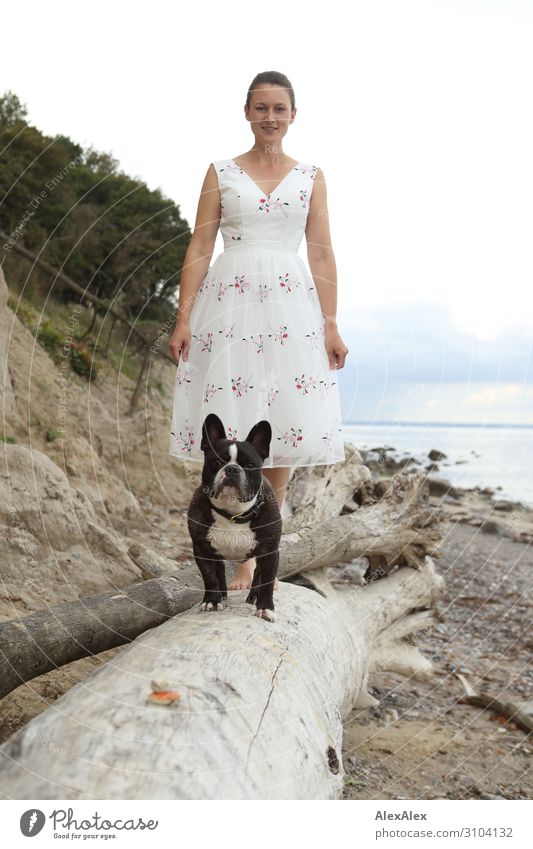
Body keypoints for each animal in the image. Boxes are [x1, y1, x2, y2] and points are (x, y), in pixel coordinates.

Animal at [186, 412, 280, 620]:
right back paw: (221, 594)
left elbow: (267, 582)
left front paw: (265, 607)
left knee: (258, 572)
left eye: (250, 465)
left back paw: (254, 595)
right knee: (219, 569)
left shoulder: (270, 552)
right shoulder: (202, 549)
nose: (232, 469)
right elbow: (209, 576)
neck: (233, 513)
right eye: (217, 462)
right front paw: (212, 600)